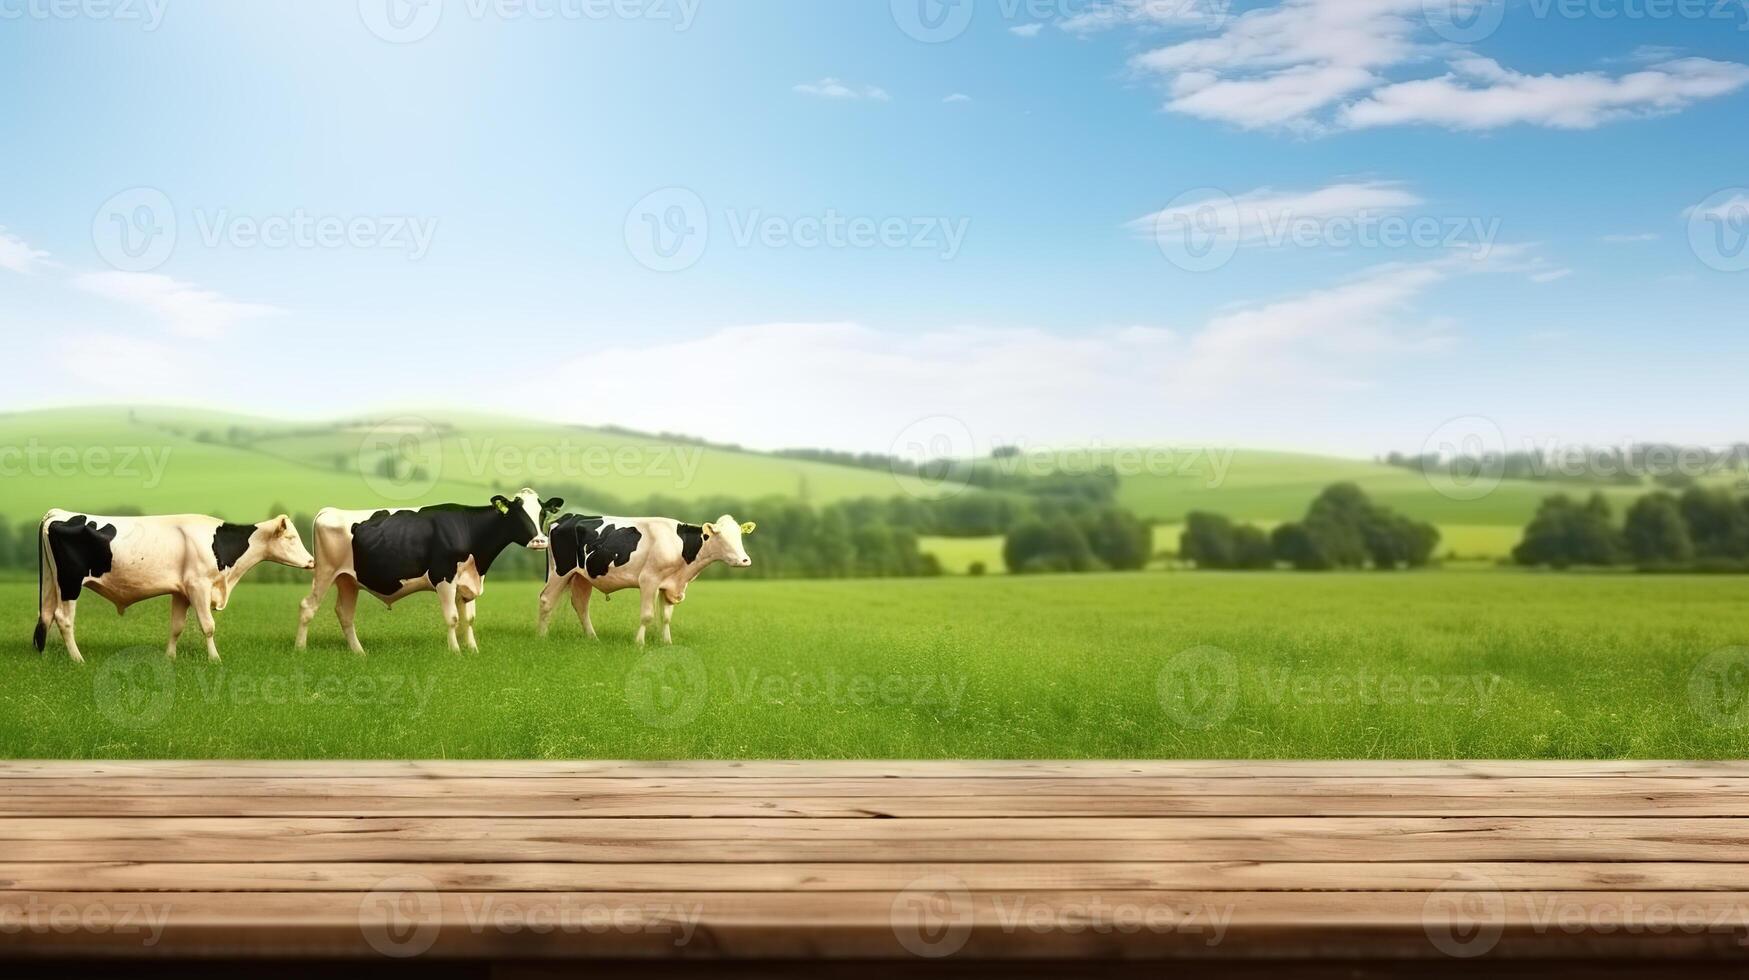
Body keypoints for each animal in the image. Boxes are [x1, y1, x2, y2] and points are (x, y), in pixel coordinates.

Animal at [34, 507, 318, 661]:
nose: (312, 561)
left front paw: (170, 657)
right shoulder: (198, 586)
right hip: (70, 583)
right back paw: (78, 659)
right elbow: (208, 626)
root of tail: (58, 513)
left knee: (46, 614)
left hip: (52, 583)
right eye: (291, 538)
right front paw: (215, 659)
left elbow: (176, 627)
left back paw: (44, 655)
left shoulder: (181, 591)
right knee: (63, 618)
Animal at [295, 486, 559, 654]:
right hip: (325, 572)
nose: (539, 541)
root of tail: (329, 511)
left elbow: (469, 619)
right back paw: (300, 649)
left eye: (543, 513)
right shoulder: (444, 577)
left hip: (348, 580)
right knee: (308, 606)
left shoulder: (468, 582)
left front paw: (473, 650)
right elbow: (453, 618)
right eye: (517, 512)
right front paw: (455, 652)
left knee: (345, 613)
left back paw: (359, 653)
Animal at [531, 507, 752, 647]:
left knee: (581, 604)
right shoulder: (649, 580)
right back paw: (541, 637)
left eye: (739, 536)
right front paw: (639, 643)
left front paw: (667, 643)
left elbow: (666, 617)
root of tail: (568, 517)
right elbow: (647, 615)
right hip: (560, 571)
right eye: (720, 536)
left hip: (582, 576)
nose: (745, 560)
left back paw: (593, 638)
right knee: (546, 599)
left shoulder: (668, 585)